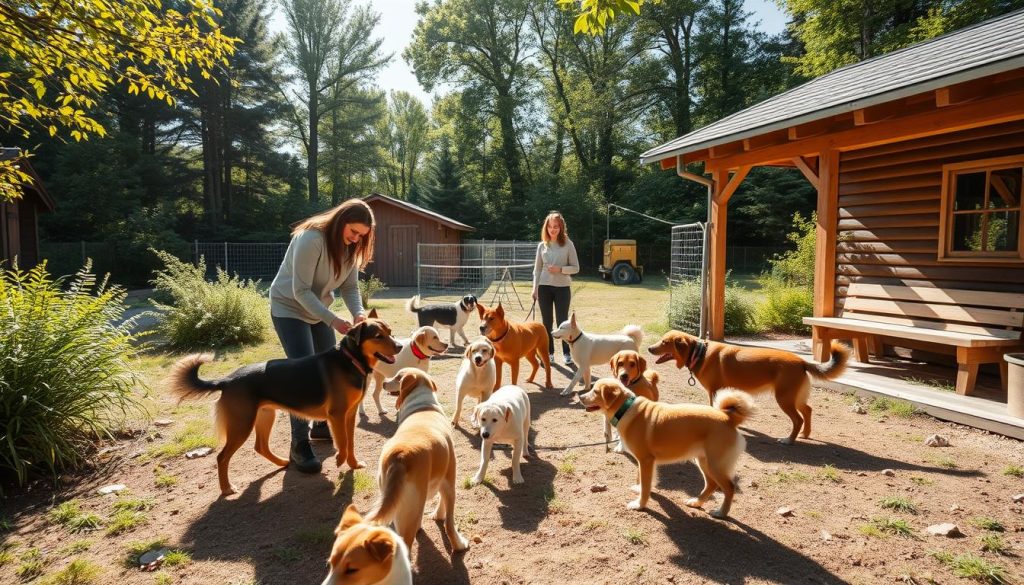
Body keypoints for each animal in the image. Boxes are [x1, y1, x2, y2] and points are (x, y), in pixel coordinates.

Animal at [167, 311, 399, 493]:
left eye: (390, 331)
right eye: (378, 336)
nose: (398, 346)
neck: (350, 359)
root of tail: (227, 380)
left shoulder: (349, 415)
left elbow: (350, 442)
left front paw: (353, 463)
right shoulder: (337, 415)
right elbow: (342, 441)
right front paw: (340, 460)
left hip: (265, 416)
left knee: (260, 447)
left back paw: (282, 462)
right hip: (241, 425)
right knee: (222, 457)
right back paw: (227, 489)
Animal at [368, 368, 471, 557]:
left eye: (398, 377)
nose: (384, 382)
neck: (423, 406)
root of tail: (400, 456)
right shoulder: (448, 479)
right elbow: (447, 517)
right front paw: (456, 540)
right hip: (411, 510)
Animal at [581, 379, 757, 516]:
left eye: (595, 391)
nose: (580, 396)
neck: (625, 409)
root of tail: (728, 418)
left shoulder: (646, 460)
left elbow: (646, 486)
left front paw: (640, 505)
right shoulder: (643, 461)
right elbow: (642, 480)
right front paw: (638, 489)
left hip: (715, 464)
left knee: (729, 488)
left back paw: (721, 512)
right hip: (703, 461)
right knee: (711, 485)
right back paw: (697, 502)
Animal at [647, 329, 847, 444]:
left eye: (665, 342)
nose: (649, 348)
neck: (700, 353)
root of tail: (802, 361)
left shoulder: (715, 392)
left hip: (784, 398)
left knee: (798, 419)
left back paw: (789, 440)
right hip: (795, 397)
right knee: (808, 411)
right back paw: (805, 434)